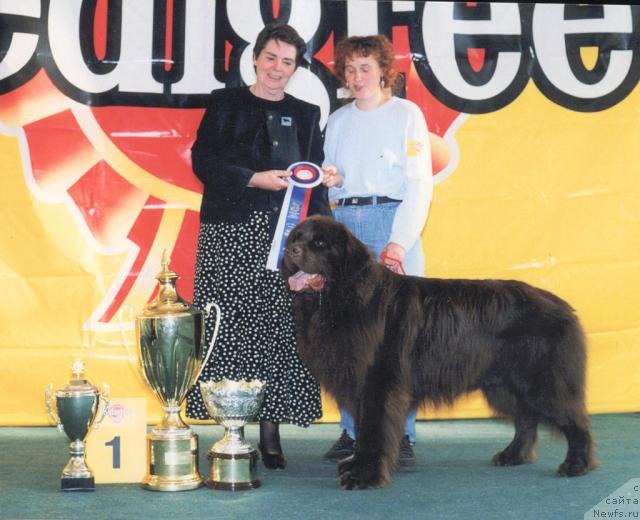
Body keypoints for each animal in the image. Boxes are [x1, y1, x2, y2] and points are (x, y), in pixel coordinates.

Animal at [282, 214, 596, 488]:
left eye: (320, 243)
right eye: (297, 238)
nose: (292, 250)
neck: (348, 297)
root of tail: (564, 306)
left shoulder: (377, 385)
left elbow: (372, 431)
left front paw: (364, 476)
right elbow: (362, 430)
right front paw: (357, 466)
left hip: (542, 382)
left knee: (574, 419)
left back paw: (576, 464)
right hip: (503, 384)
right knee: (526, 418)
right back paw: (513, 456)